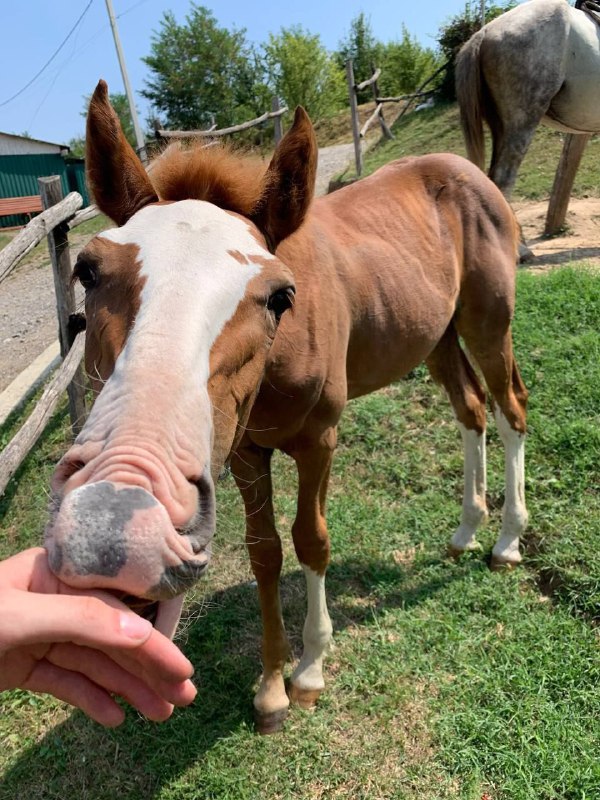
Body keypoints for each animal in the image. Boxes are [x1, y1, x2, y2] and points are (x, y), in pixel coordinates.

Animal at [44, 81, 528, 732]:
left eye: (280, 296)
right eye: (88, 271)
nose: (118, 519)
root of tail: (471, 173)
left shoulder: (319, 440)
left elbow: (311, 540)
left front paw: (310, 671)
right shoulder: (246, 453)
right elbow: (266, 552)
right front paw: (272, 686)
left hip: (487, 324)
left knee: (509, 411)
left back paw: (506, 541)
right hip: (437, 338)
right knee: (471, 410)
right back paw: (466, 530)